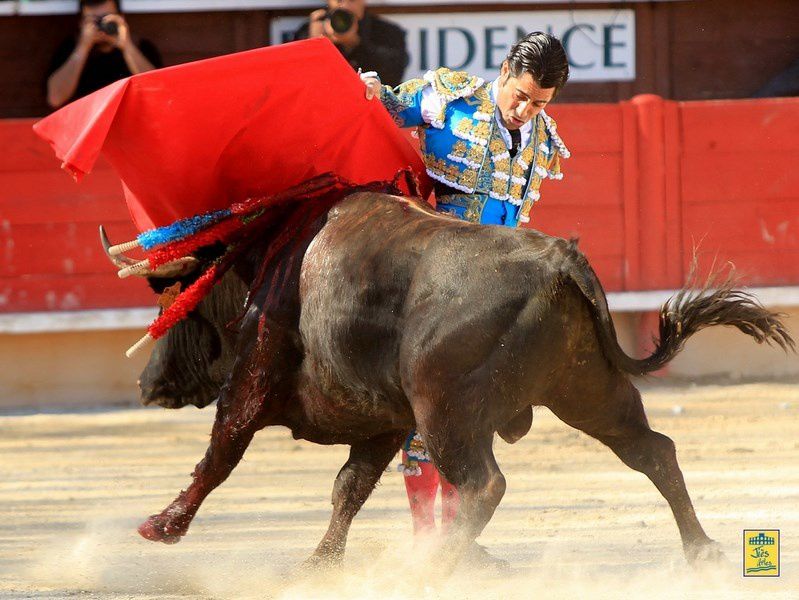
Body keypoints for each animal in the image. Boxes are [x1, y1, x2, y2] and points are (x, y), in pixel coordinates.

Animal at [104, 192, 792, 572]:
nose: (146, 386)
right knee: (654, 452)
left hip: (449, 413)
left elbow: (221, 452)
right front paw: (319, 563)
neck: (271, 260)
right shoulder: (383, 420)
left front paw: (162, 525)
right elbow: (349, 488)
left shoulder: (253, 379)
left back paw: (433, 563)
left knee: (484, 484)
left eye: (173, 303)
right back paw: (702, 550)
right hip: (590, 390)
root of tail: (559, 259)